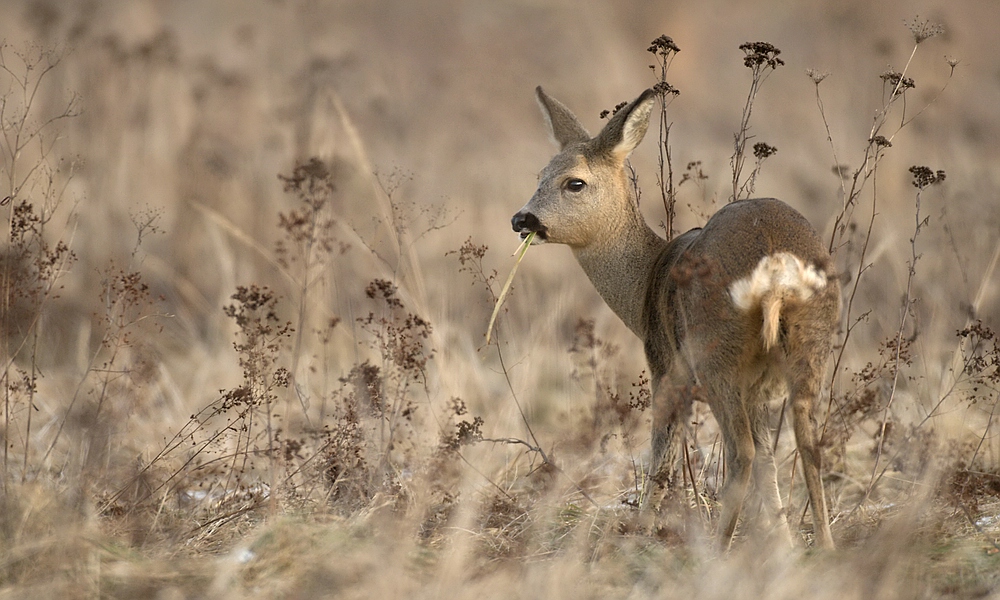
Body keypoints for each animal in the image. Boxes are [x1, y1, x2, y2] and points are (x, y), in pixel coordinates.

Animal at [512, 86, 840, 552]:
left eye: (574, 181)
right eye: (540, 174)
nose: (522, 219)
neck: (647, 279)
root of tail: (776, 270)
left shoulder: (665, 362)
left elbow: (663, 453)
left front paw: (638, 530)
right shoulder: (759, 386)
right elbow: (770, 460)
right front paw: (782, 541)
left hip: (716, 351)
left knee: (740, 451)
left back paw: (718, 550)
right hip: (811, 346)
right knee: (806, 444)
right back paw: (825, 547)